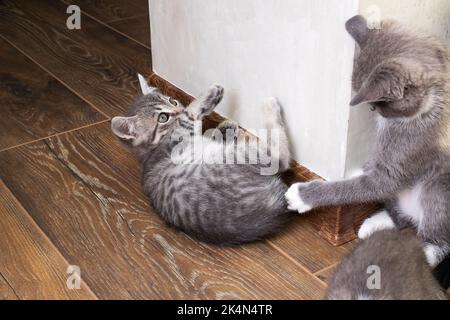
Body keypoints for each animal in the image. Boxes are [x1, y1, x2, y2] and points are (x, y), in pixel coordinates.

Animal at [110, 74, 292, 245]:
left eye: (172, 101)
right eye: (162, 118)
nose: (178, 108)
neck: (150, 150)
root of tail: (273, 207)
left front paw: (224, 129)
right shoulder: (178, 136)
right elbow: (189, 114)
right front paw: (211, 94)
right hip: (236, 157)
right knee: (280, 158)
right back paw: (269, 106)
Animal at [286, 16, 448, 268]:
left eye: (381, 102)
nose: (373, 111)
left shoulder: (402, 158)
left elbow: (361, 186)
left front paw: (302, 195)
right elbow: (365, 178)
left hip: (438, 188)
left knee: (436, 233)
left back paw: (425, 254)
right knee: (402, 216)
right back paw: (374, 224)